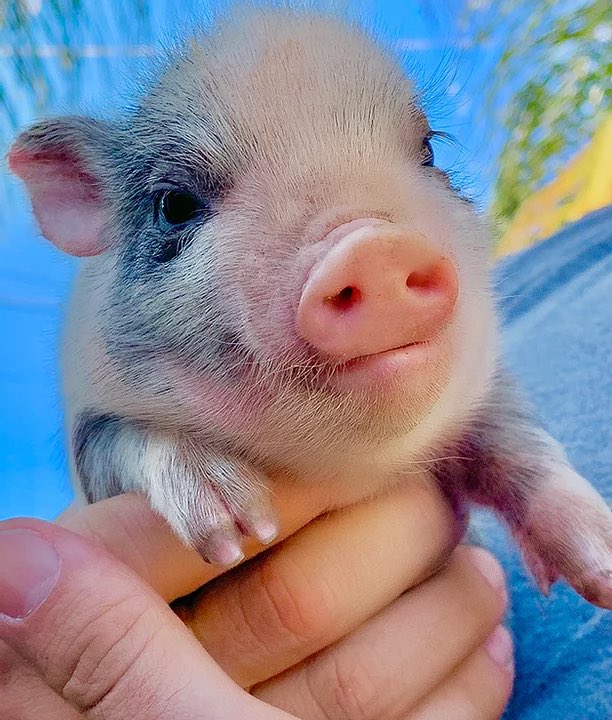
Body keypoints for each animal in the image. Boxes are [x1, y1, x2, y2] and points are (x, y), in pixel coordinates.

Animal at [7, 2, 612, 607]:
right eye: (174, 205)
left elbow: (512, 438)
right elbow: (121, 440)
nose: (372, 246)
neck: (352, 465)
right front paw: (237, 527)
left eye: (429, 150)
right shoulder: (88, 445)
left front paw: (603, 566)